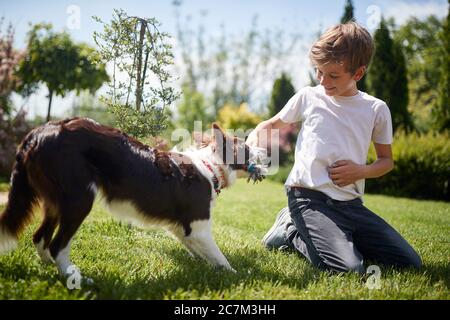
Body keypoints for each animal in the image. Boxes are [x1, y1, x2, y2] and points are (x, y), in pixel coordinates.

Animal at [0, 118, 266, 280]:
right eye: (247, 148)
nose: (265, 150)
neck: (210, 166)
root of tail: (40, 132)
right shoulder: (199, 226)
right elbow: (220, 257)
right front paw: (237, 275)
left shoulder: (182, 229)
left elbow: (201, 253)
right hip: (79, 199)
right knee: (57, 244)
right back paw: (76, 278)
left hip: (56, 203)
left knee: (39, 237)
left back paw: (48, 267)